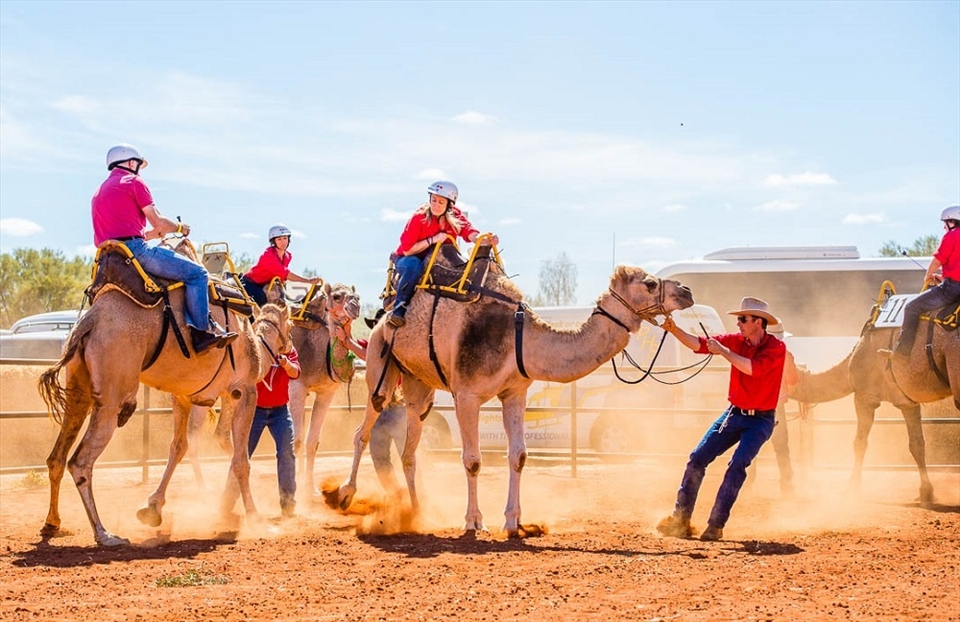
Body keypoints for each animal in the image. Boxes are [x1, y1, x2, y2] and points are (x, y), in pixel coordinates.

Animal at [37, 247, 292, 546]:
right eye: (290, 324)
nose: (289, 349)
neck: (254, 343)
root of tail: (88, 321)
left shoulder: (183, 396)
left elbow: (179, 447)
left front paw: (152, 509)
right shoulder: (244, 391)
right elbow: (241, 460)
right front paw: (256, 519)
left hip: (79, 390)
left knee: (57, 456)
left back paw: (52, 524)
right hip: (112, 398)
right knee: (80, 462)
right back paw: (105, 534)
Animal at [333, 258, 694, 536]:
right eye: (649, 283)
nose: (686, 291)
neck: (520, 338)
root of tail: (383, 316)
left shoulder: (515, 393)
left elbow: (518, 455)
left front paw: (514, 522)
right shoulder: (467, 395)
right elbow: (473, 460)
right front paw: (474, 521)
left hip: (419, 387)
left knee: (410, 449)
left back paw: (418, 512)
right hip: (380, 363)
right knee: (363, 429)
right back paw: (344, 494)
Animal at [793, 293, 959, 505]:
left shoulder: (864, 396)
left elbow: (859, 442)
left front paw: (852, 488)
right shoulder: (907, 401)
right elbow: (917, 444)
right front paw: (926, 493)